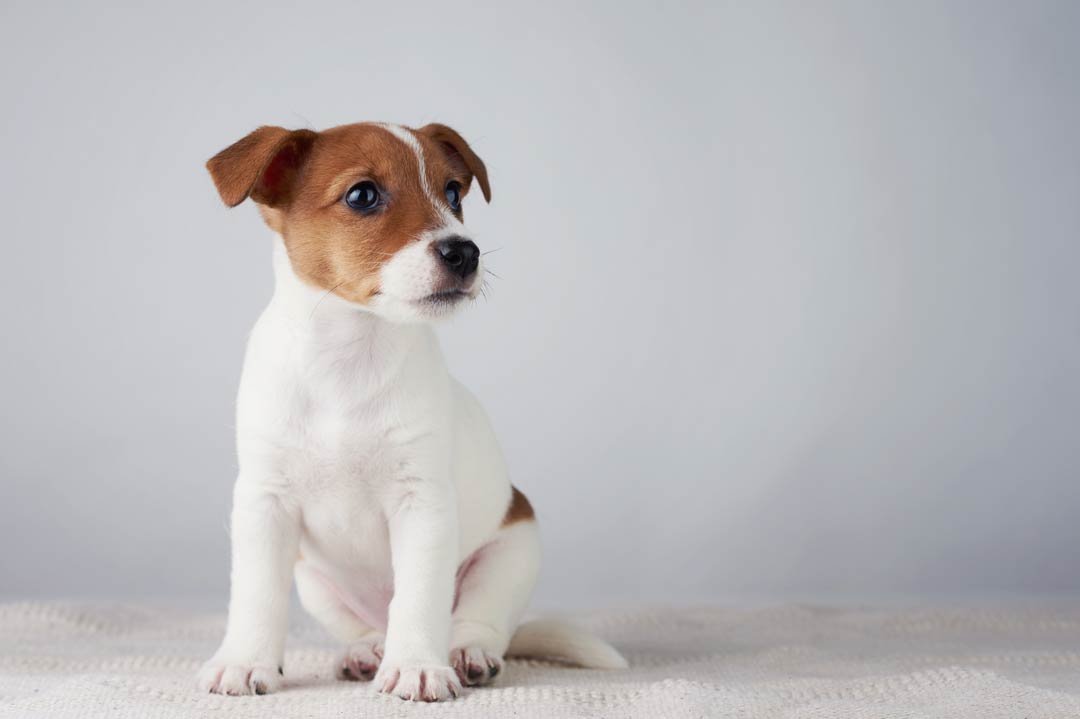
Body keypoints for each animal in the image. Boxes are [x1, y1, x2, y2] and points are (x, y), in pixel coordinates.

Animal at [198, 120, 630, 695]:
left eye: (453, 193)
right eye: (362, 195)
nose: (464, 252)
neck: (349, 358)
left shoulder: (422, 504)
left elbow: (419, 599)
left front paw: (417, 667)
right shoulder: (263, 502)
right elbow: (255, 595)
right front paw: (245, 660)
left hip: (512, 552)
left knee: (476, 622)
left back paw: (465, 653)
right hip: (314, 580)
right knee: (367, 625)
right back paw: (367, 650)